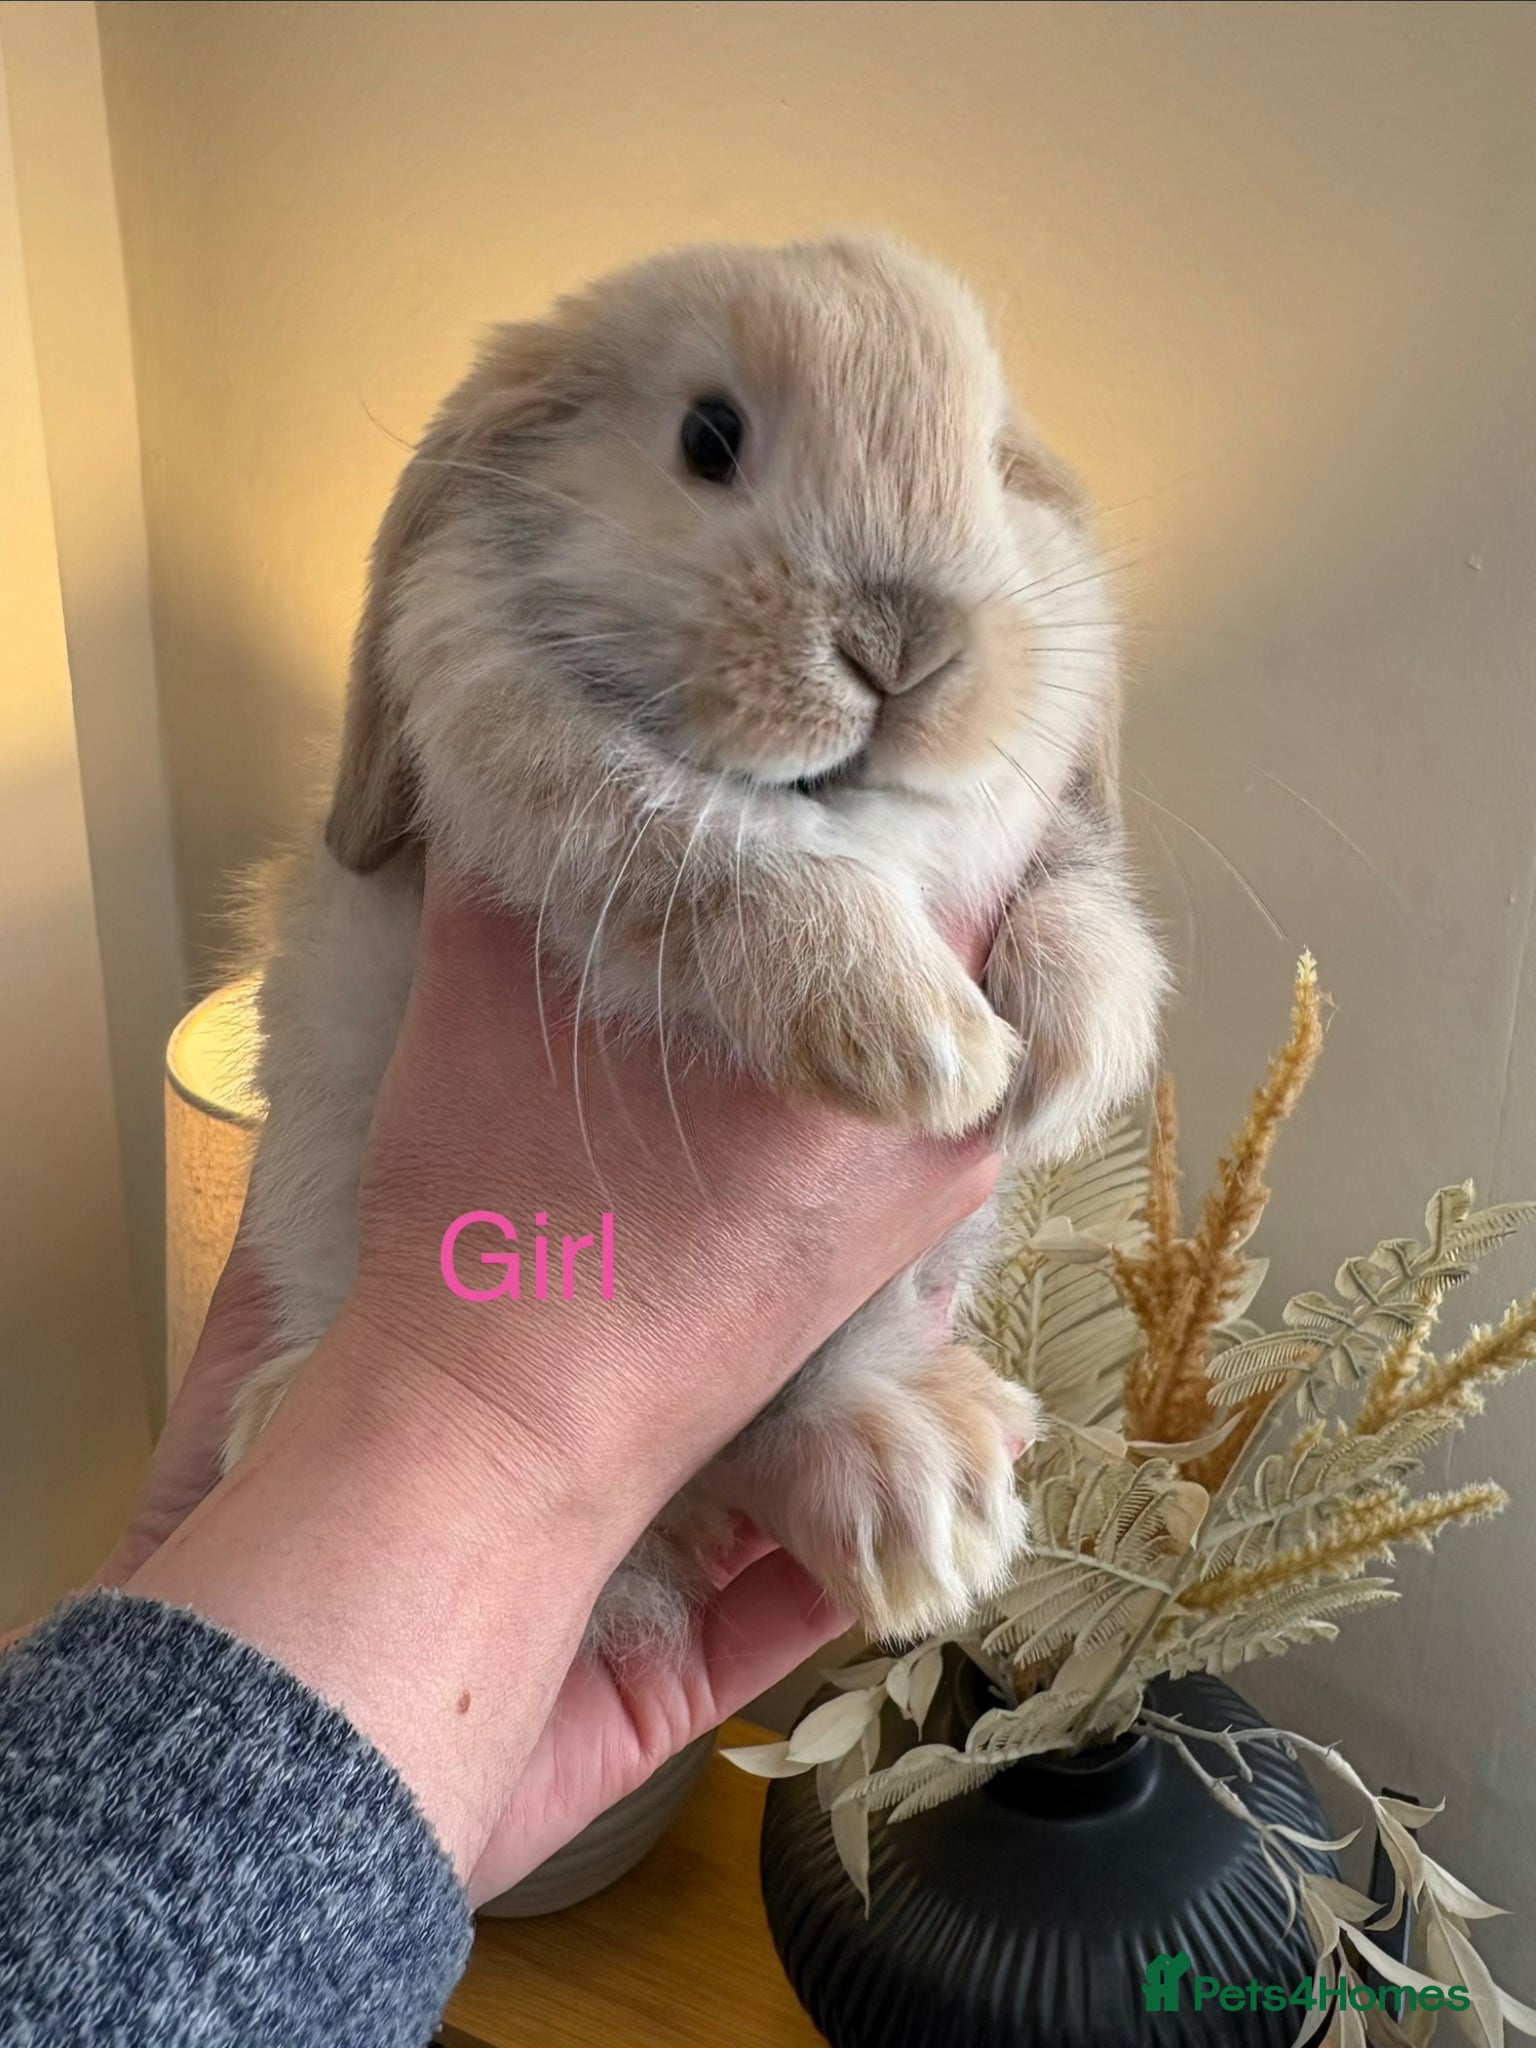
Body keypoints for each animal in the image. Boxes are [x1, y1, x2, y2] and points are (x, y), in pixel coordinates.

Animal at [225, 232, 1166, 1655]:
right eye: (707, 436)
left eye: (995, 465)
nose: (903, 643)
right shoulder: (547, 768)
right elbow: (719, 843)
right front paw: (922, 1045)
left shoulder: (1032, 822)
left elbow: (1076, 885)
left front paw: (1064, 1063)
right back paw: (273, 1410)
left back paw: (918, 1494)